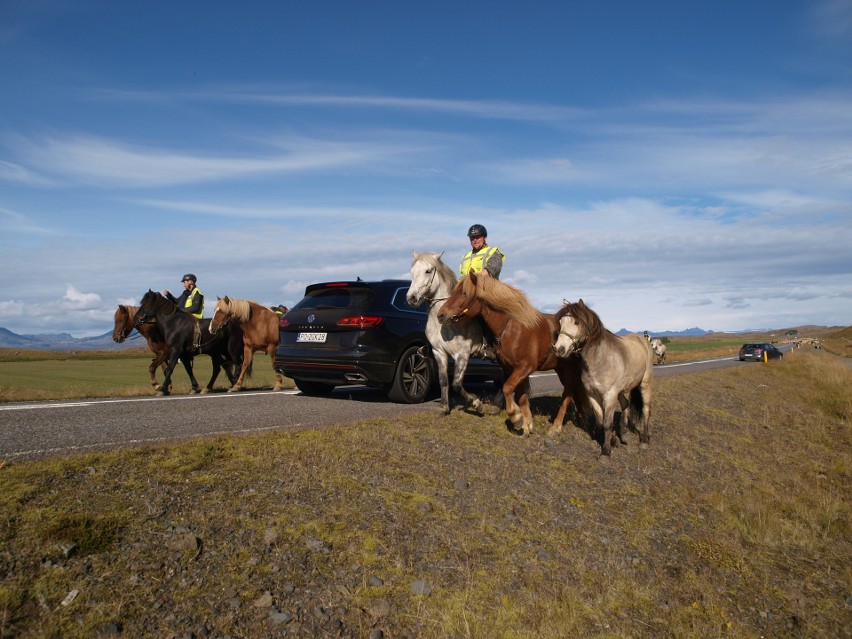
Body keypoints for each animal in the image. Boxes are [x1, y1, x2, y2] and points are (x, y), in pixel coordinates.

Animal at [406, 250, 500, 416]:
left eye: (428, 271)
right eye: (412, 272)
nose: (411, 298)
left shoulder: (462, 354)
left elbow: (456, 383)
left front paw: (476, 403)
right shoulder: (439, 353)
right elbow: (444, 380)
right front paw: (444, 407)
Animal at [436, 272, 584, 438]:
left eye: (464, 293)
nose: (441, 315)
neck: (513, 328)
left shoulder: (525, 367)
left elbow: (507, 388)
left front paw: (516, 417)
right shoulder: (511, 369)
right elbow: (521, 396)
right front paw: (527, 425)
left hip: (569, 370)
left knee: (568, 393)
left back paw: (557, 427)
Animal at [552, 298, 652, 456]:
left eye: (576, 322)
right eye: (561, 322)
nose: (559, 349)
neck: (600, 358)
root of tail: (642, 340)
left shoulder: (609, 396)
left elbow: (607, 423)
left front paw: (605, 451)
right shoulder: (592, 395)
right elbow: (600, 421)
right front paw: (613, 440)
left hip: (645, 384)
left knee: (646, 410)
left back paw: (644, 440)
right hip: (621, 390)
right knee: (626, 404)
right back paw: (624, 434)